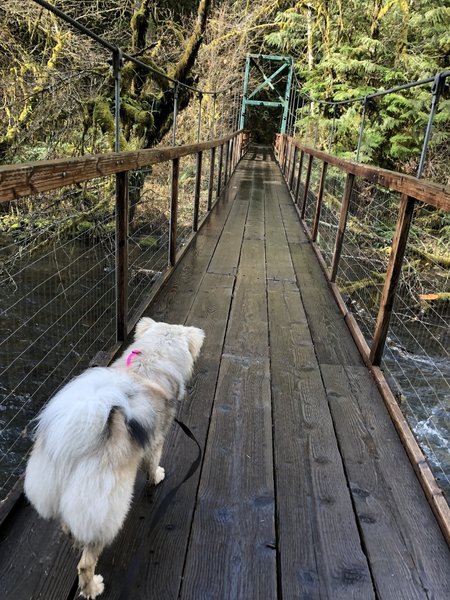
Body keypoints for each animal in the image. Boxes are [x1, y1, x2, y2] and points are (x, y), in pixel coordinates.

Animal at [25, 318, 205, 596]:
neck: (149, 363)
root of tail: (71, 449)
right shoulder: (156, 442)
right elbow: (152, 466)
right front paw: (157, 476)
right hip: (109, 512)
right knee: (85, 564)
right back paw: (93, 588)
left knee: (68, 526)